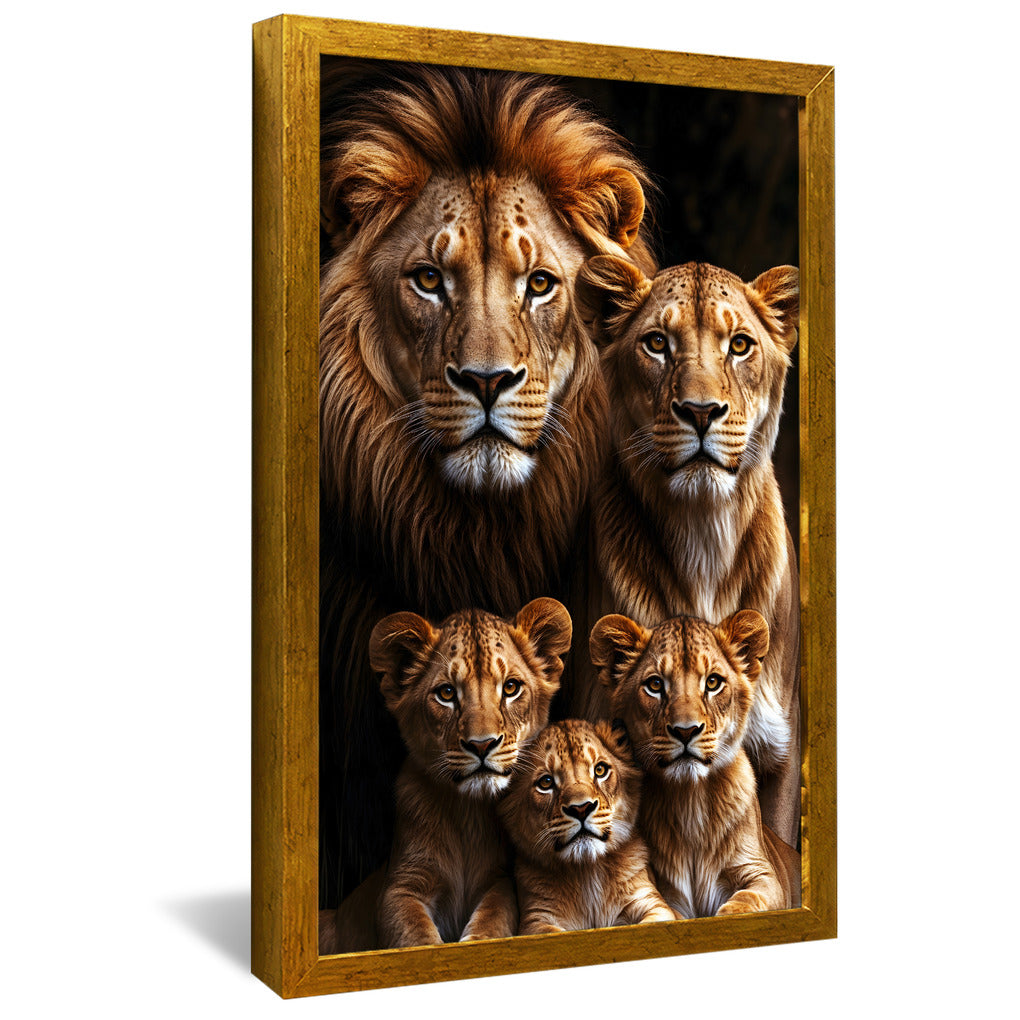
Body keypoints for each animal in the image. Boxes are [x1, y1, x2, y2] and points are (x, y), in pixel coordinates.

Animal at [499, 718, 674, 934]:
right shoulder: (535, 920)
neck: (587, 872)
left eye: (600, 770)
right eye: (546, 782)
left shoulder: (652, 903)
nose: (581, 809)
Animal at [591, 611, 800, 917]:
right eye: (655, 685)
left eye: (713, 683)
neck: (691, 800)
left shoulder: (762, 873)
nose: (686, 730)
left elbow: (750, 898)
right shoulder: (658, 891)